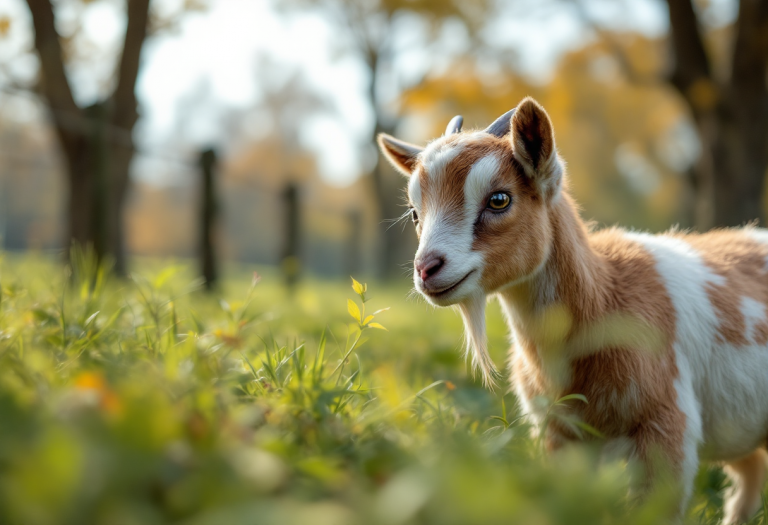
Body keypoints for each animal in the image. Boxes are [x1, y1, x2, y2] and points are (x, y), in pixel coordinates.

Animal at [380, 97, 768, 520]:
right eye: (415, 213)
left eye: (499, 199)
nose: (427, 268)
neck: (605, 295)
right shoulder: (560, 435)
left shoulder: (667, 426)